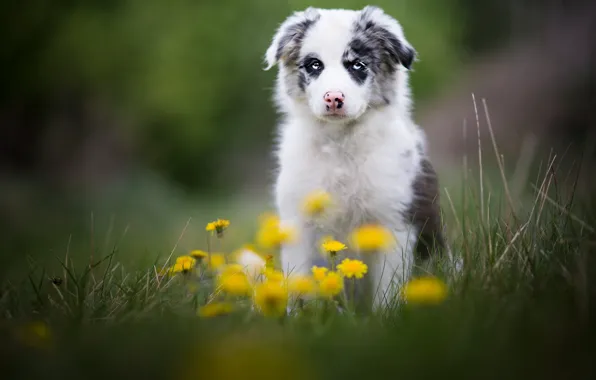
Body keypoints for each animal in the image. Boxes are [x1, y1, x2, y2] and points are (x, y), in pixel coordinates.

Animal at [264, 5, 444, 308]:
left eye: (357, 65)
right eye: (314, 65)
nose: (333, 98)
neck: (340, 145)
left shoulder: (393, 222)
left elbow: (388, 291)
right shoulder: (298, 222)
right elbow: (299, 283)